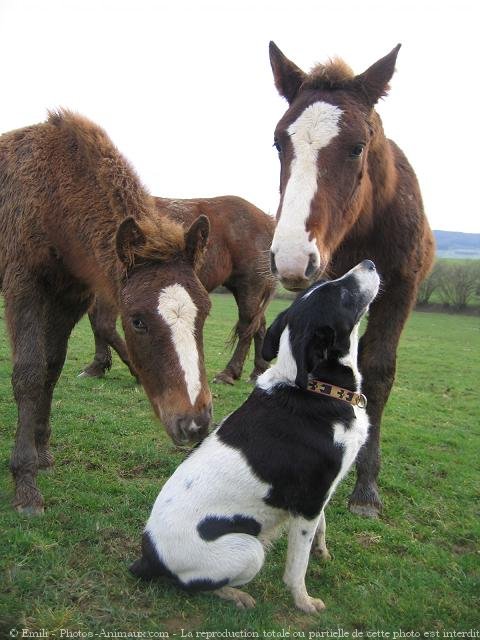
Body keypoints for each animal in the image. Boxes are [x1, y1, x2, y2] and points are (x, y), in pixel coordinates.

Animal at [0, 107, 212, 512]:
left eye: (206, 311)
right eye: (137, 321)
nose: (195, 424)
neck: (54, 191)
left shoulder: (71, 296)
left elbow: (51, 367)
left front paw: (42, 452)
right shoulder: (23, 284)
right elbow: (29, 374)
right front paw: (25, 482)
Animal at [81, 195, 278, 384]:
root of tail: (268, 220)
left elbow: (104, 325)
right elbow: (96, 323)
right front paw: (97, 366)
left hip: (250, 286)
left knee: (247, 326)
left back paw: (228, 373)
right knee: (259, 325)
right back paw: (258, 371)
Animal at [129, 262, 380, 616]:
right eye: (343, 294)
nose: (369, 263)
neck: (318, 388)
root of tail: (148, 556)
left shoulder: (321, 492)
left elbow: (323, 526)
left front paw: (322, 552)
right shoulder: (308, 504)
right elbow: (297, 566)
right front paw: (303, 601)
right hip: (249, 550)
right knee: (195, 585)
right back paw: (235, 595)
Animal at [268, 42, 436, 516]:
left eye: (357, 147)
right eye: (279, 142)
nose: (291, 258)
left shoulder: (401, 291)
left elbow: (378, 372)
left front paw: (366, 488)